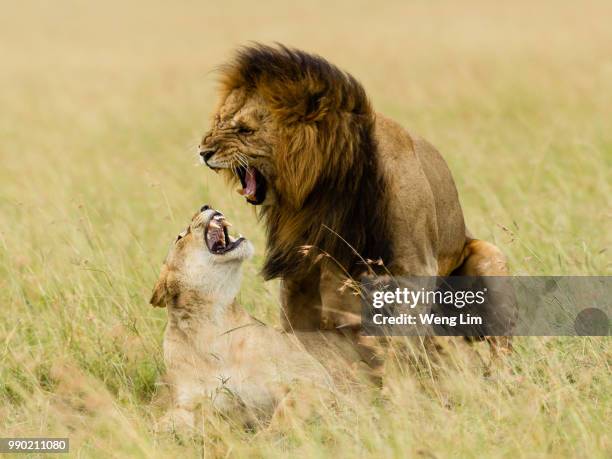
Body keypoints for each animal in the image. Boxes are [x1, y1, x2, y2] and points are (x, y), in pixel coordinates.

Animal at [198, 44, 510, 360]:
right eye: (220, 121)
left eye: (245, 130)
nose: (203, 151)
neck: (326, 190)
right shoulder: (300, 269)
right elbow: (300, 332)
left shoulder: (416, 267)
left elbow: (403, 340)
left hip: (490, 259)